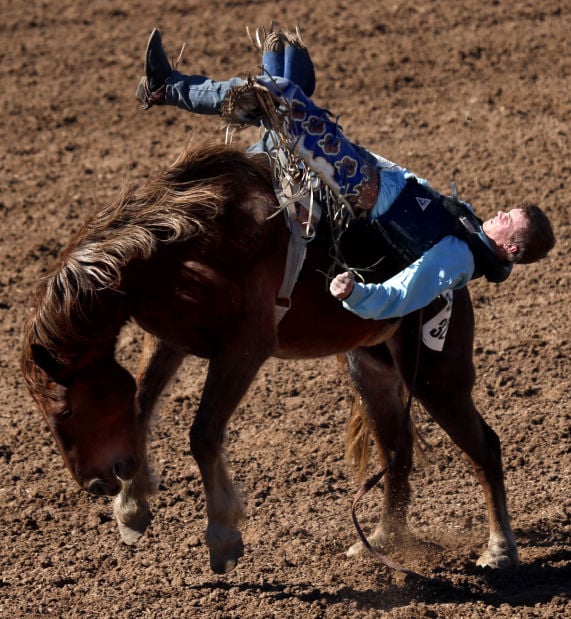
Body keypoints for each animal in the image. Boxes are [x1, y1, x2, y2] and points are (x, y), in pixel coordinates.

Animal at [21, 142, 520, 576]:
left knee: (484, 446)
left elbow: (202, 434)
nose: (94, 484)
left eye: (64, 411)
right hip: (370, 370)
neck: (182, 247)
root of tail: (461, 260)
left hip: (438, 373)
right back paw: (381, 540)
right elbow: (141, 404)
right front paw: (132, 508)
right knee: (398, 453)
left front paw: (222, 536)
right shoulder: (167, 339)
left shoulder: (244, 348)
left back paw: (498, 551)